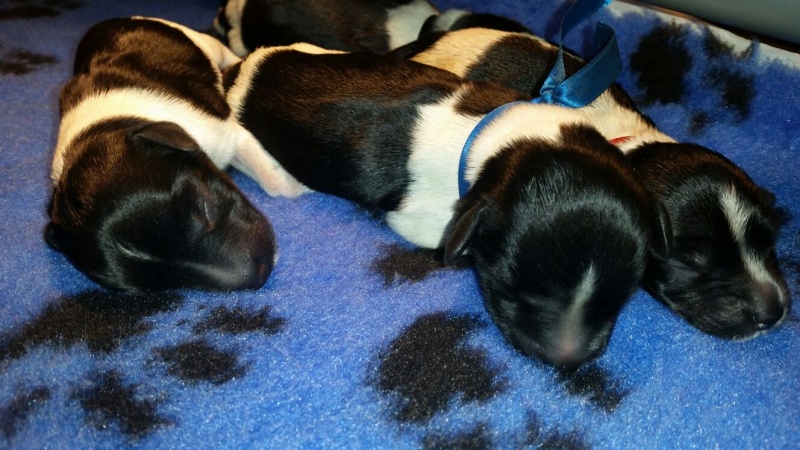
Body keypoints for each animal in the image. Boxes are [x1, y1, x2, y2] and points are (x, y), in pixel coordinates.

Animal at [46, 17, 298, 292]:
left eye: (204, 210)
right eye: (167, 280)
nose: (261, 274)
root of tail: (117, 20)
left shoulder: (227, 135)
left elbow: (276, 183)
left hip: (203, 43)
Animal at [223, 43, 671, 368]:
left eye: (623, 293)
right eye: (509, 286)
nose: (566, 360)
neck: (502, 139)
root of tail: (240, 72)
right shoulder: (423, 220)